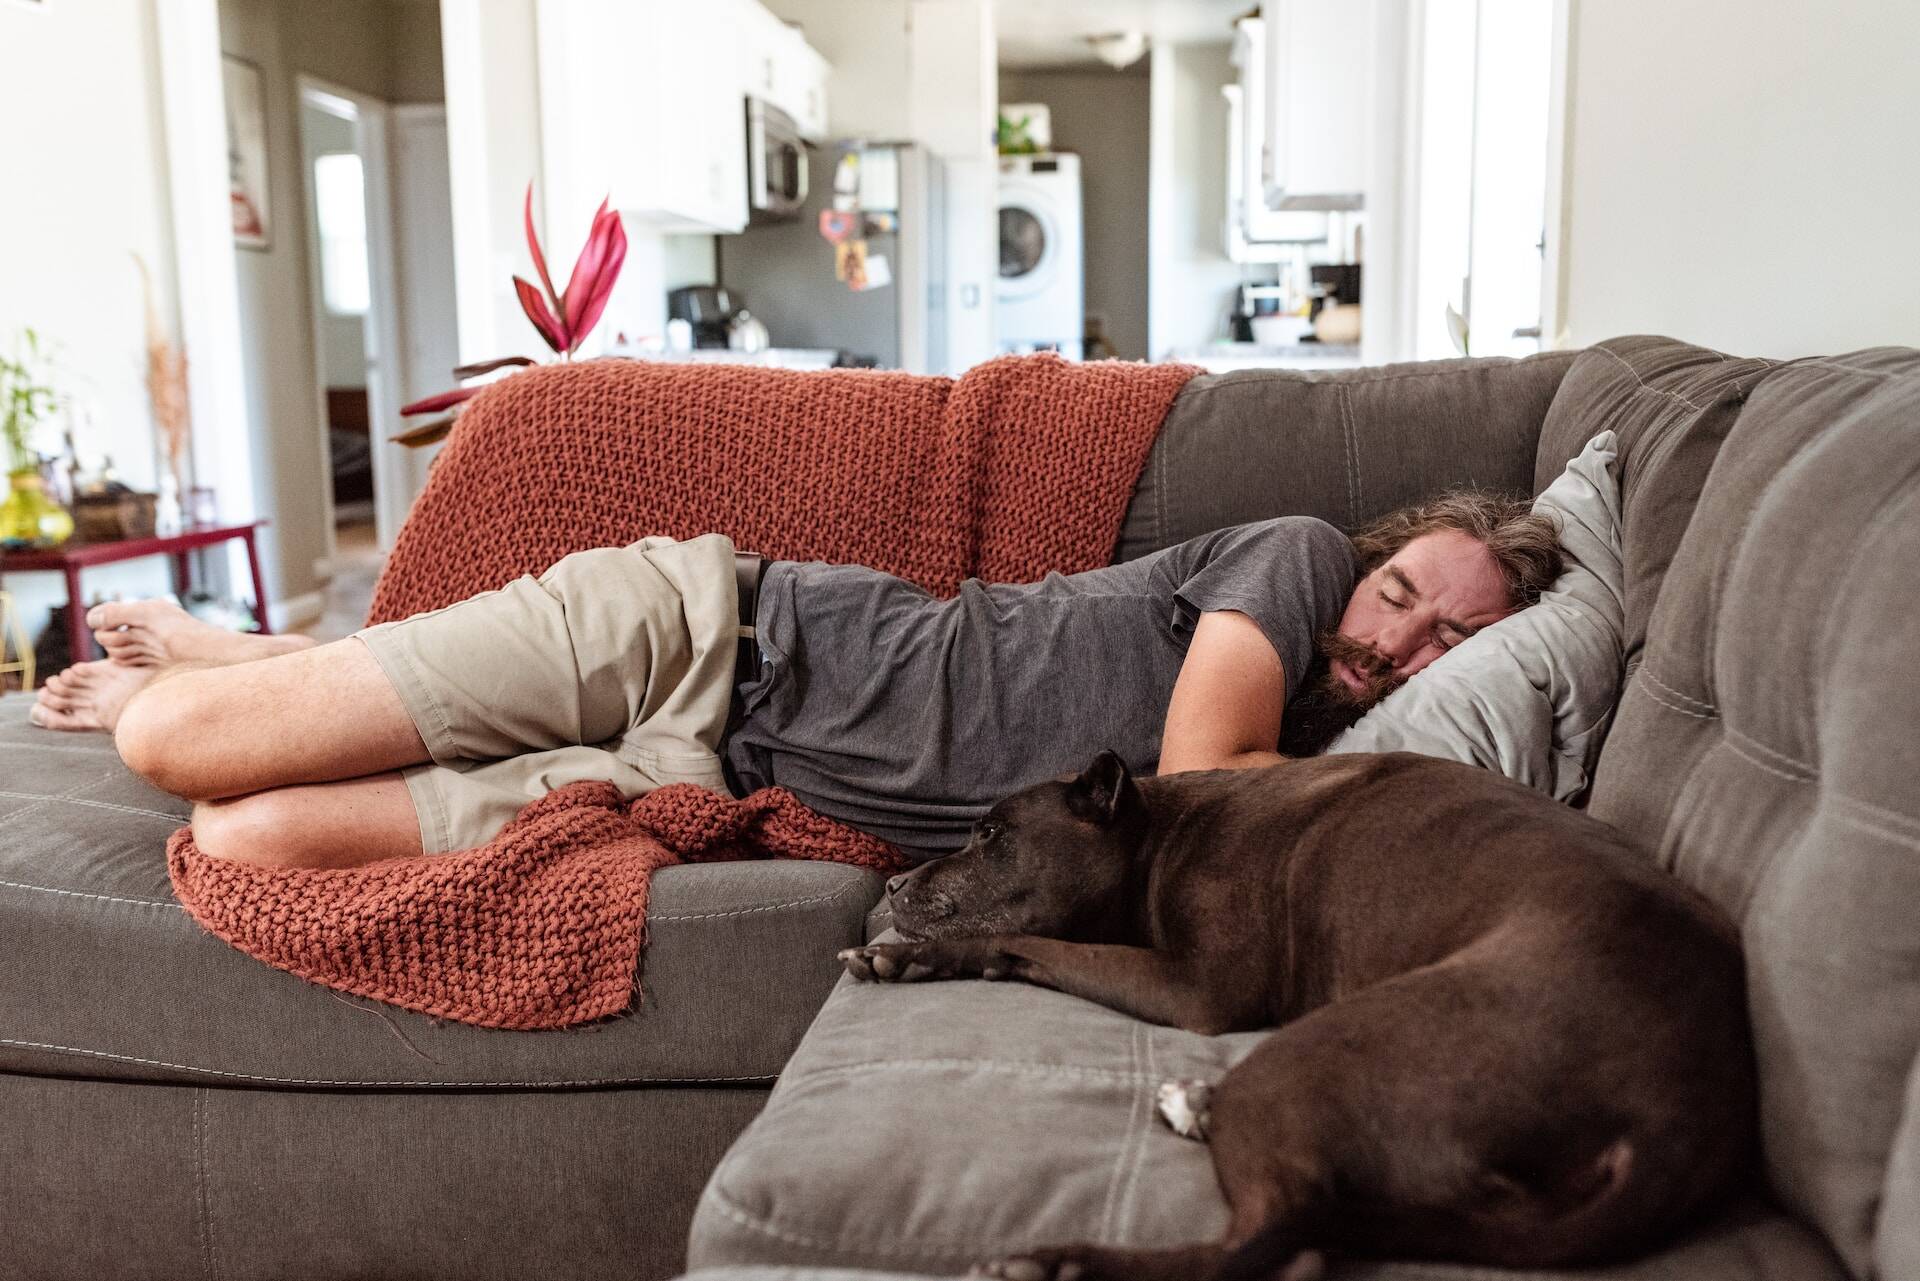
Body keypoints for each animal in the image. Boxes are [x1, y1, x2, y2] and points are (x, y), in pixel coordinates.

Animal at [840, 752, 1758, 1281]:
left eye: (990, 835)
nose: (895, 882)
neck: (1156, 833)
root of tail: (1682, 1116)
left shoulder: (1197, 987)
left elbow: (1031, 939)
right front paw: (906, 957)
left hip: (1315, 1053)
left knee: (1275, 1242)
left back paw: (1060, 1261)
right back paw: (1193, 1108)